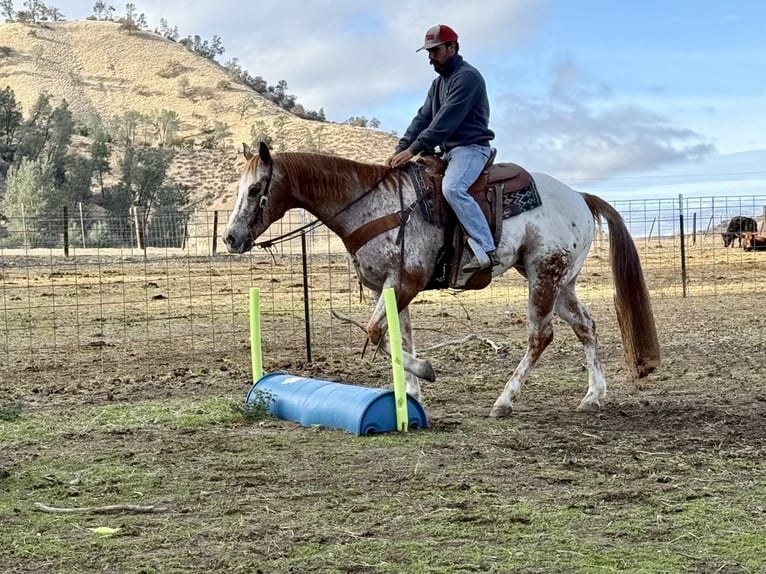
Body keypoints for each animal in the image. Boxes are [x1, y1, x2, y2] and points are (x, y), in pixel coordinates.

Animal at [225, 142, 660, 417]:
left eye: (255, 189)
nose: (230, 238)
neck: (373, 205)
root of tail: (580, 198)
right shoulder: (391, 288)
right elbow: (397, 337)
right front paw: (409, 397)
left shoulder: (405, 284)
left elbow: (376, 333)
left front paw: (424, 372)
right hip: (561, 282)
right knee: (586, 327)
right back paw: (593, 396)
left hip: (543, 276)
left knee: (541, 337)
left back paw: (504, 401)